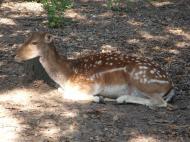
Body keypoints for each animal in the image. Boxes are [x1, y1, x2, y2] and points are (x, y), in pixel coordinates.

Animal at [14, 31, 175, 107]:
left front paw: (98, 98)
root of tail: (170, 84)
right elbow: (61, 90)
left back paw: (118, 99)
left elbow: (67, 94)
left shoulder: (91, 83)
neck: (67, 74)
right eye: (26, 39)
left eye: (34, 43)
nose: (15, 55)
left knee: (160, 102)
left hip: (141, 80)